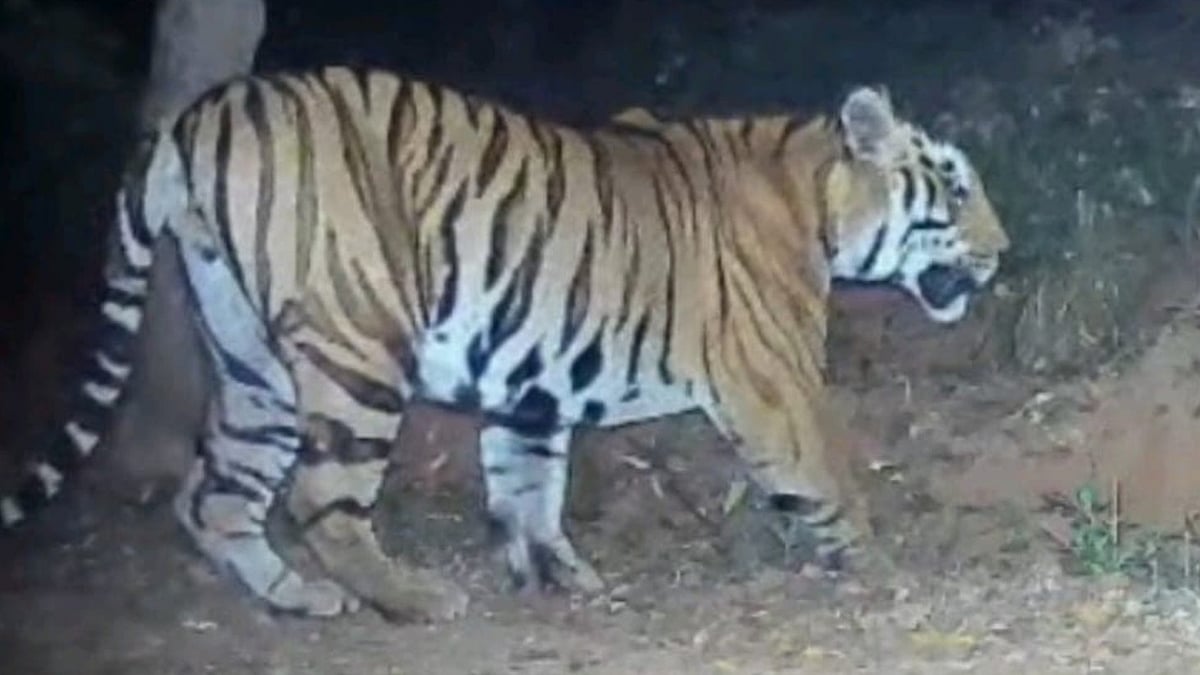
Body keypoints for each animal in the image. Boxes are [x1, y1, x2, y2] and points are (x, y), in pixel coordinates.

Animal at [0, 66, 1008, 622]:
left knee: (214, 497)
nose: (1002, 253)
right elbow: (831, 472)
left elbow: (528, 486)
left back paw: (302, 599)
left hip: (255, 365)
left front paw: (556, 575)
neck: (818, 199)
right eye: (956, 189)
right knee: (321, 496)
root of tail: (196, 115)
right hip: (359, 343)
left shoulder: (533, 380)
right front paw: (879, 564)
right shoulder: (775, 381)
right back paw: (408, 598)